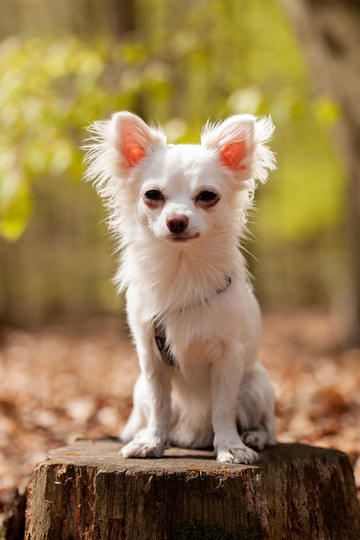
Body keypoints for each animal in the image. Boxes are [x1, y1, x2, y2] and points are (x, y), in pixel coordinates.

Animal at [86, 110, 278, 464]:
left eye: (207, 196)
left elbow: (223, 409)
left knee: (269, 428)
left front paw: (230, 447)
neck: (182, 267)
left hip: (256, 385)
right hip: (139, 389)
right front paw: (152, 443)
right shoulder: (151, 358)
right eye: (152, 195)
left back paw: (253, 436)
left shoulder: (229, 358)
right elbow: (160, 406)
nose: (177, 220)